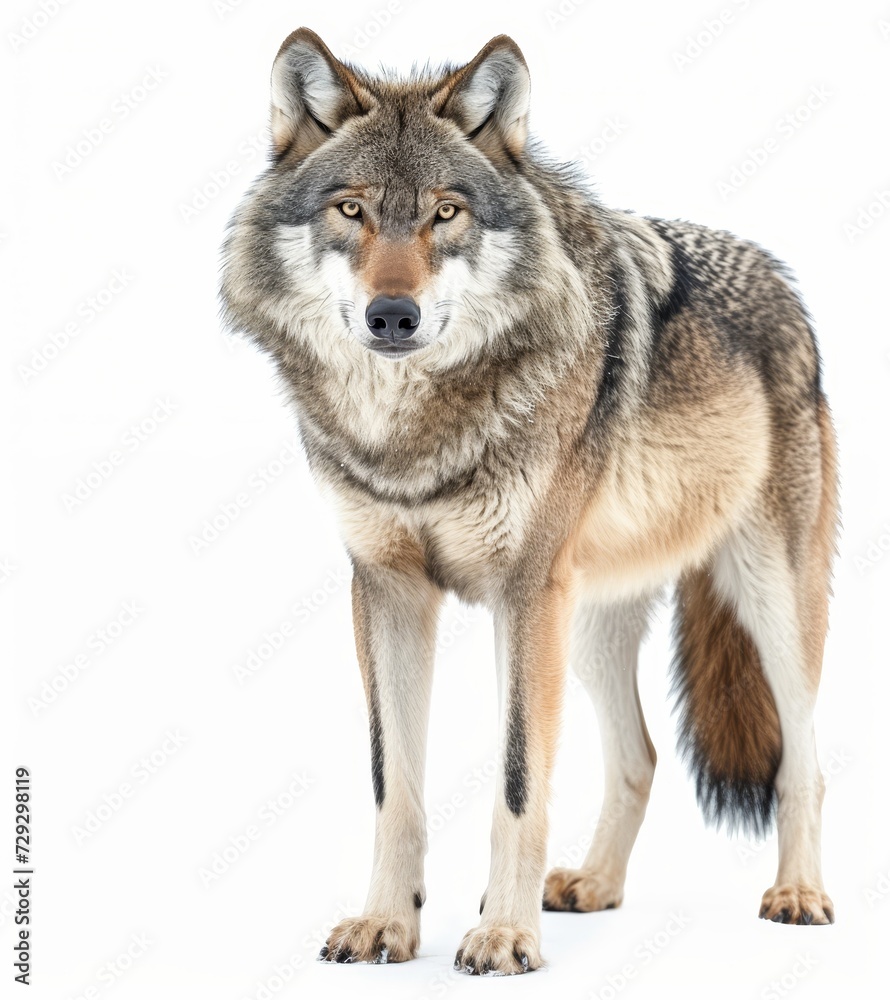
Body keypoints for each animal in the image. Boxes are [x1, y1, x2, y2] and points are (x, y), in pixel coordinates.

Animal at [219, 27, 836, 972]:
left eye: (446, 213)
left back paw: (798, 894)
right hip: (587, 624)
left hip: (764, 603)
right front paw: (387, 924)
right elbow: (394, 785)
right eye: (352, 210)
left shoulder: (522, 592)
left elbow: (516, 782)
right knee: (640, 756)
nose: (391, 316)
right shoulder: (387, 589)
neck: (414, 436)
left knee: (806, 762)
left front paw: (505, 935)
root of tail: (784, 282)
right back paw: (594, 885)